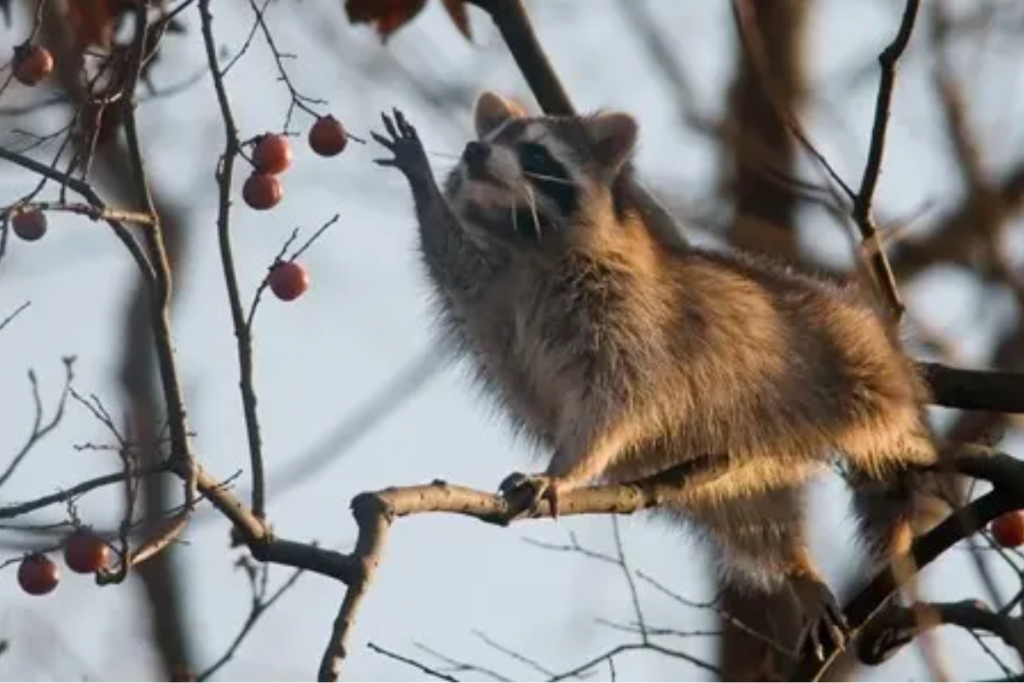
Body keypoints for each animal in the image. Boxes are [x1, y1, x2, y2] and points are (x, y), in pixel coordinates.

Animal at [372, 92, 937, 663]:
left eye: (535, 152)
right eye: (490, 137)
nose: (475, 152)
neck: (529, 241)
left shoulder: (629, 318)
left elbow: (615, 400)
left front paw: (565, 469)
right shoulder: (492, 294)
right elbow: (453, 264)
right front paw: (424, 189)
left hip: (842, 353)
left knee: (881, 422)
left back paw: (901, 442)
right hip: (729, 476)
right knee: (757, 521)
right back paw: (794, 563)